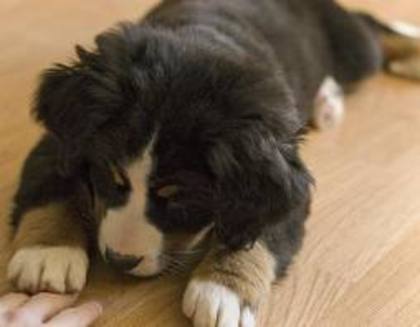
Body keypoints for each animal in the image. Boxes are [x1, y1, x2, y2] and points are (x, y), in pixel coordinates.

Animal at [7, 0, 420, 326]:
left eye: (179, 198)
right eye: (109, 174)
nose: (121, 260)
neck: (198, 42)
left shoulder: (286, 179)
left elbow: (260, 229)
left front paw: (224, 289)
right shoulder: (59, 141)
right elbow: (50, 184)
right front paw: (47, 253)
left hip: (355, 51)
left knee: (372, 29)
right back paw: (328, 101)